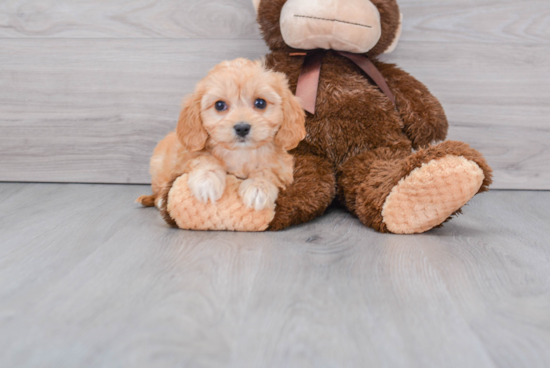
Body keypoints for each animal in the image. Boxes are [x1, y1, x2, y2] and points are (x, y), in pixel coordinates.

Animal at [137, 59, 306, 211]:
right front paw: (206, 181)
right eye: (219, 105)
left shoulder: (282, 169)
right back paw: (159, 200)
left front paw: (258, 188)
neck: (241, 153)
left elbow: (267, 171)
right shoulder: (184, 159)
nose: (242, 128)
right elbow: (204, 158)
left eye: (260, 103)